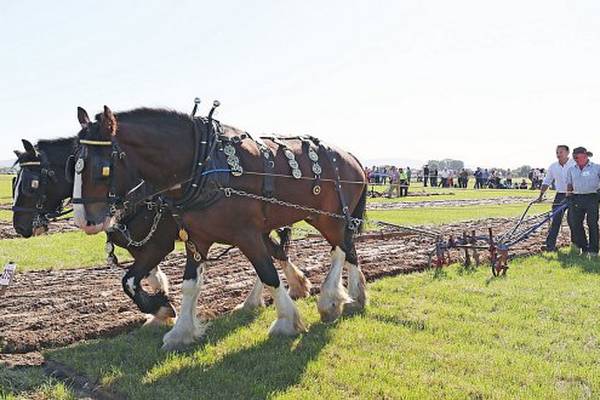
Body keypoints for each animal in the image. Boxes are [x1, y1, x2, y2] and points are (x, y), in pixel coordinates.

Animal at [12, 137, 310, 328]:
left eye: (30, 184)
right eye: (13, 181)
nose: (20, 227)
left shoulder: (159, 244)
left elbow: (129, 281)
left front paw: (162, 308)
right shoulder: (139, 246)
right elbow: (148, 277)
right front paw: (160, 305)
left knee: (270, 255)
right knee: (274, 253)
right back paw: (286, 289)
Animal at [73, 104, 368, 350]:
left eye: (101, 168)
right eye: (72, 166)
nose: (83, 220)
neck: (202, 164)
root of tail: (353, 158)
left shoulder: (243, 234)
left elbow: (268, 274)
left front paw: (286, 322)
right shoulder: (196, 238)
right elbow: (187, 284)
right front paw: (179, 329)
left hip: (329, 217)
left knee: (340, 249)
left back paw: (330, 300)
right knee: (346, 248)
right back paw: (356, 295)